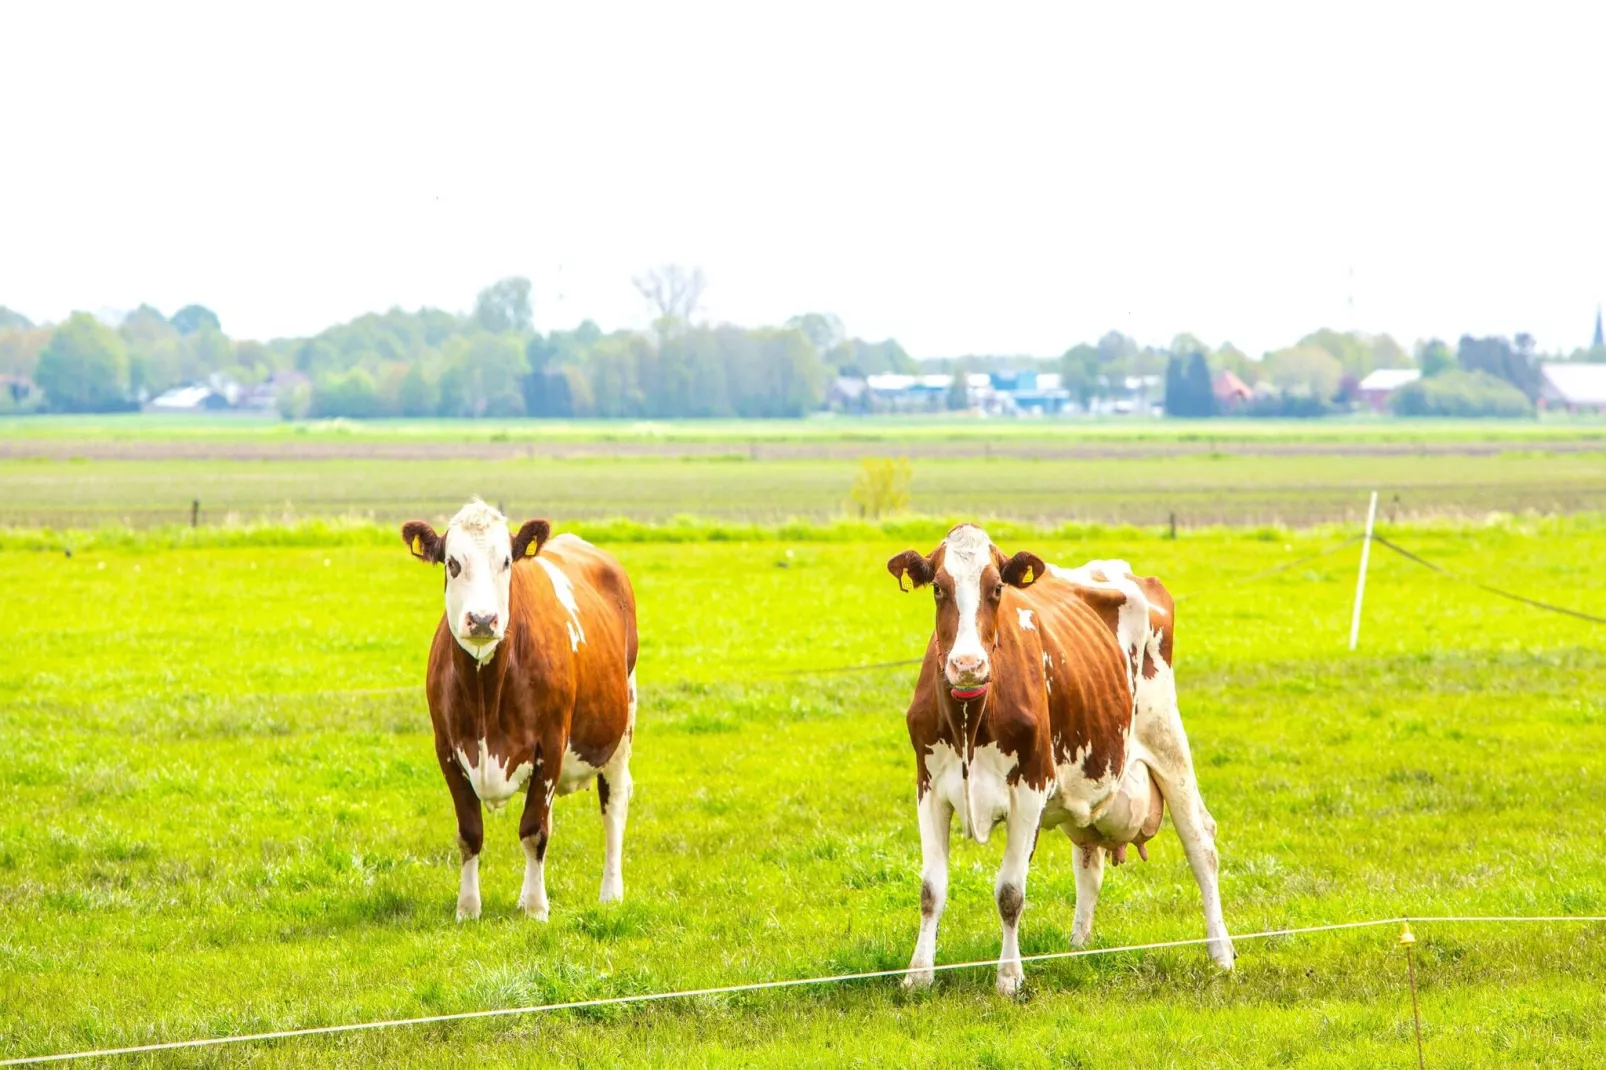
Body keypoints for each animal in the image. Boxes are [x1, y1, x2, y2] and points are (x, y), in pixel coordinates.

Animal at [401, 501, 639, 918]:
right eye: (452, 563)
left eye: (507, 561)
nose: (482, 619)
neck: (485, 690)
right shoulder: (447, 750)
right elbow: (470, 833)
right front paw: (468, 908)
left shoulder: (551, 744)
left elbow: (533, 831)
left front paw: (536, 909)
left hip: (621, 726)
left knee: (613, 804)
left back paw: (610, 892)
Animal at [886, 523, 1233, 989]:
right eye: (939, 588)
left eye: (997, 588)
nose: (967, 665)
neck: (969, 719)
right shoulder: (929, 788)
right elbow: (931, 888)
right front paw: (918, 975)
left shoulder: (1029, 788)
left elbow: (1010, 892)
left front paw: (1009, 978)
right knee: (1089, 862)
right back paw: (1078, 947)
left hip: (1167, 740)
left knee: (1200, 843)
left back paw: (1221, 952)